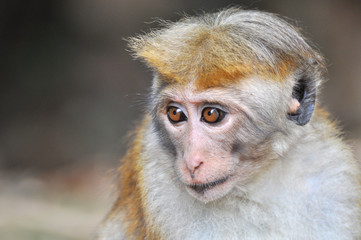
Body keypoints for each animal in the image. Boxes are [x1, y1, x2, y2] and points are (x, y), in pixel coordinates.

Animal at [95, 7, 360, 240]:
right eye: (175, 113)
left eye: (212, 114)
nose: (191, 162)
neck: (255, 184)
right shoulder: (157, 183)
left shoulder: (333, 178)